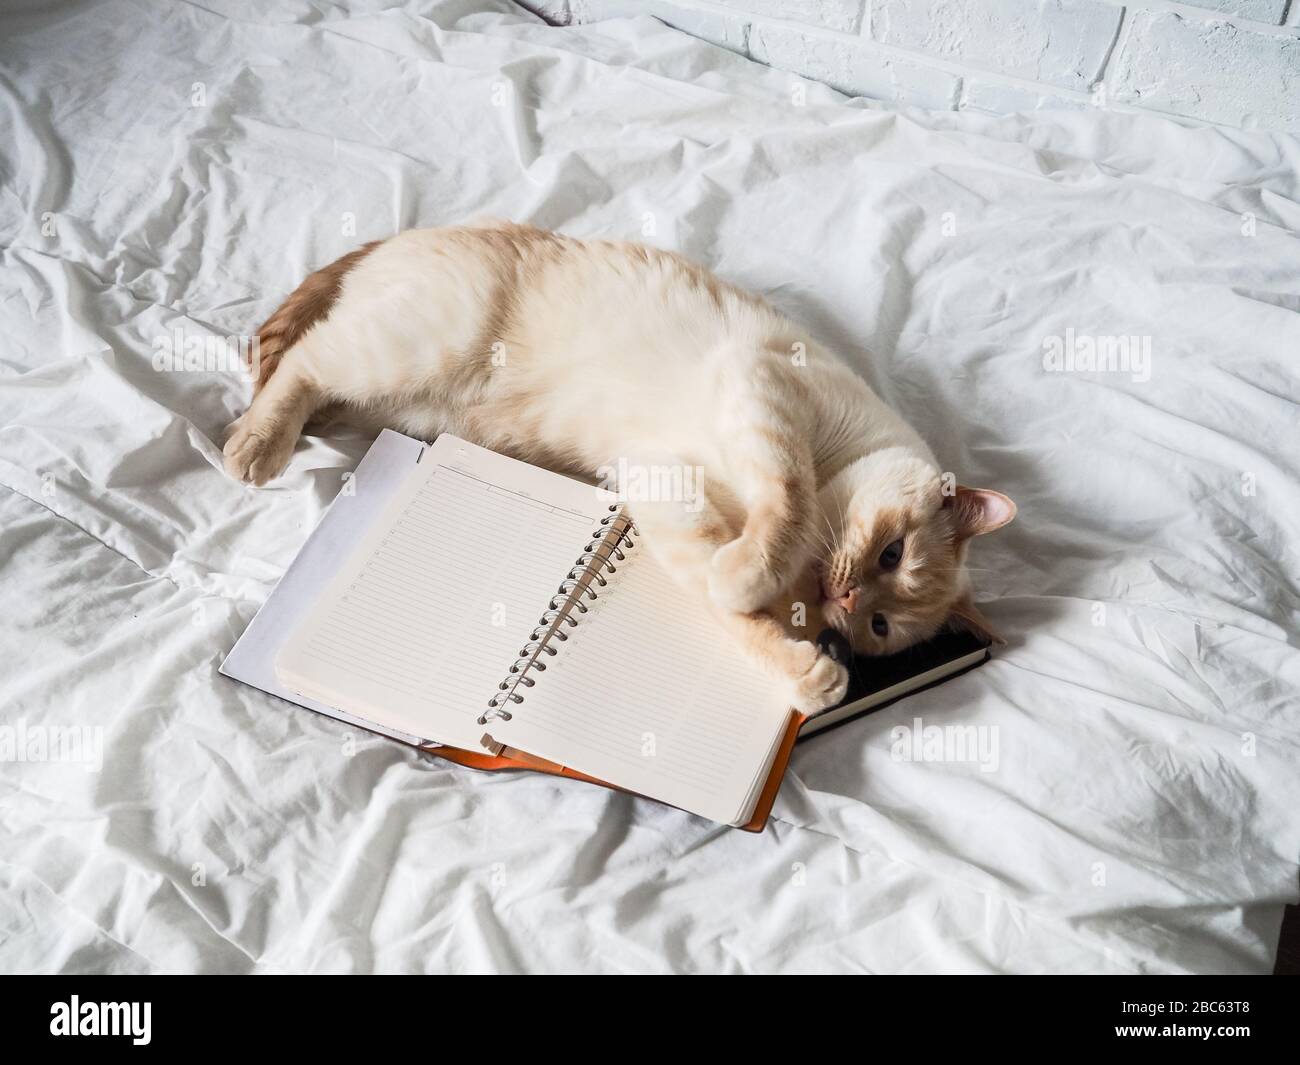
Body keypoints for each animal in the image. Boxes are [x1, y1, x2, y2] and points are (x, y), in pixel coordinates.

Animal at [223, 221, 1013, 712]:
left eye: (879, 626)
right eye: (890, 552)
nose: (845, 601)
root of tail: (403, 235)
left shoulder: (662, 492)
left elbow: (731, 610)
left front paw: (805, 671)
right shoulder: (762, 394)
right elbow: (784, 506)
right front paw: (754, 579)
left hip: (400, 392)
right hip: (410, 347)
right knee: (298, 363)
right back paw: (255, 445)